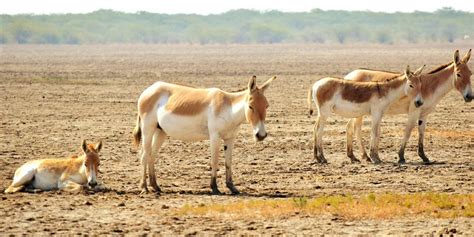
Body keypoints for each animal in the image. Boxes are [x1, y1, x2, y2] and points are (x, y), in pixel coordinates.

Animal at [131, 76, 276, 194]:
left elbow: (228, 162)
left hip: (160, 132)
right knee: (144, 155)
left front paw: (232, 187)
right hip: (148, 130)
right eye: (251, 106)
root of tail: (149, 90)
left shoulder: (230, 138)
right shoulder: (214, 136)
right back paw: (144, 188)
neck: (228, 108)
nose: (261, 135)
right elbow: (215, 160)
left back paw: (156, 186)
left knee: (151, 155)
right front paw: (214, 188)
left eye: (267, 106)